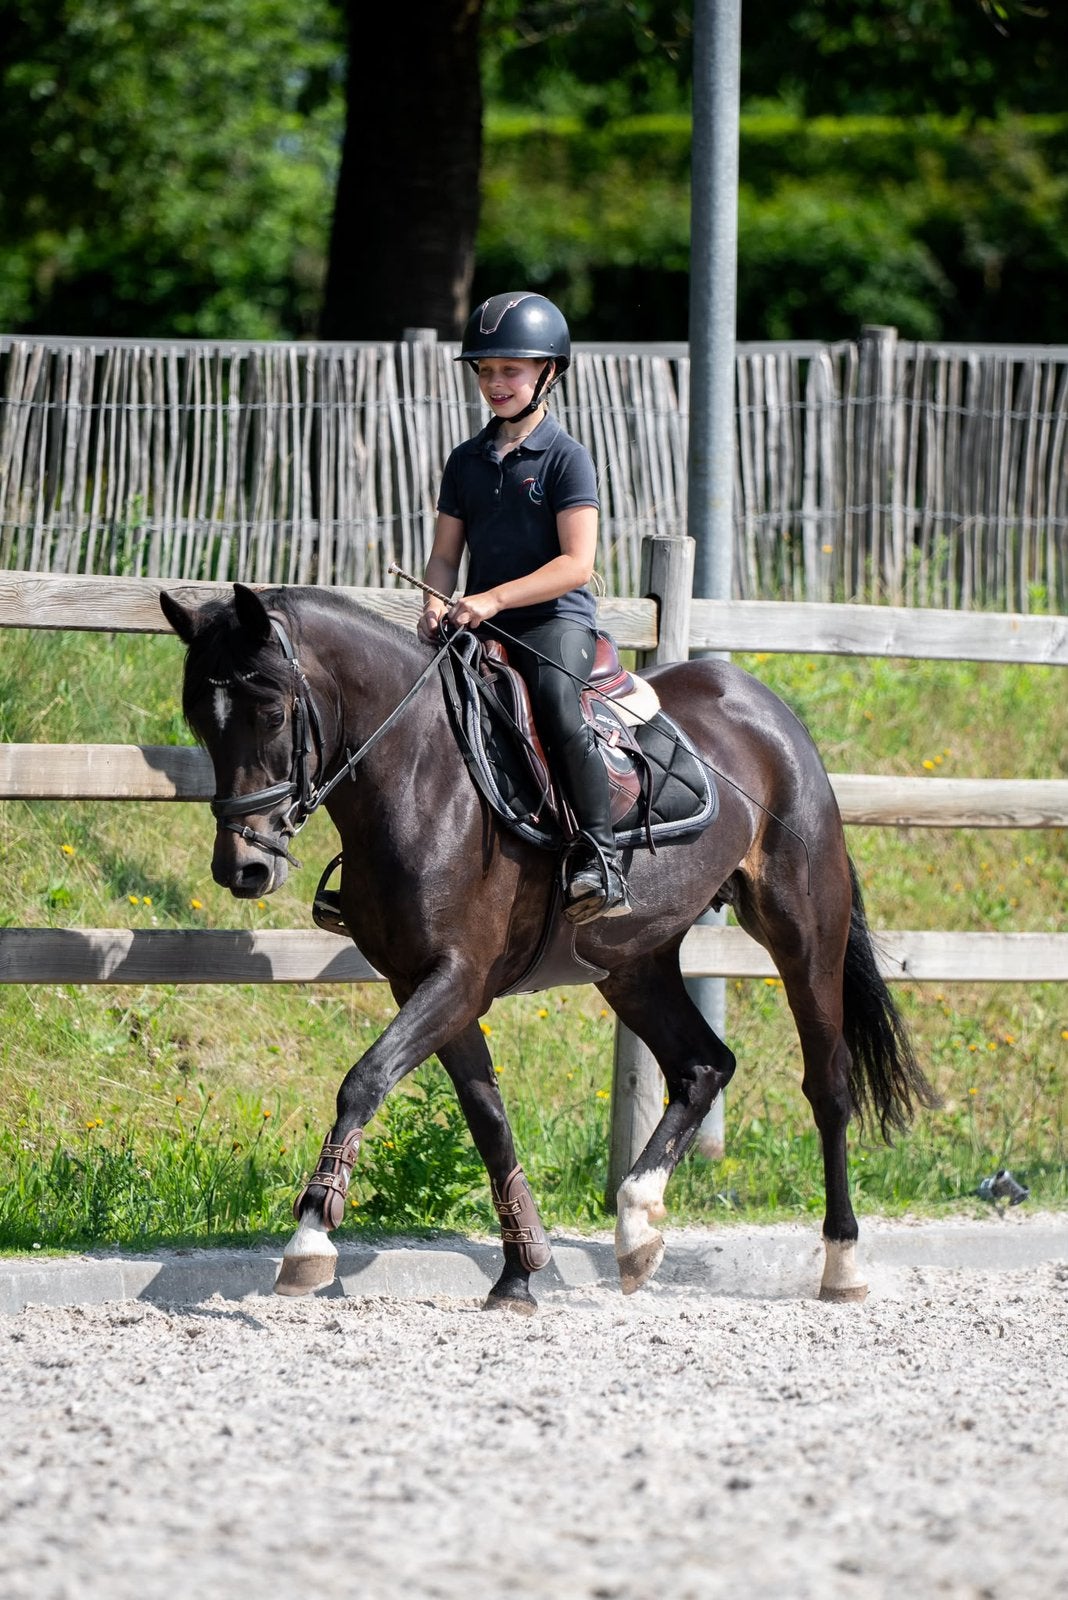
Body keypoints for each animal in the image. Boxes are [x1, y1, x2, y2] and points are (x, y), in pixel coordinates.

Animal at [159, 581, 937, 1312]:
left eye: (272, 712)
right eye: (199, 719)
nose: (242, 868)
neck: (419, 772)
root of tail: (763, 703)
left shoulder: (457, 977)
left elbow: (365, 1080)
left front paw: (310, 1238)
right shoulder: (426, 985)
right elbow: (488, 1120)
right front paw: (520, 1273)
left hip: (803, 929)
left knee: (827, 1085)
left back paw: (841, 1264)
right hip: (630, 962)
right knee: (702, 1066)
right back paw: (637, 1228)